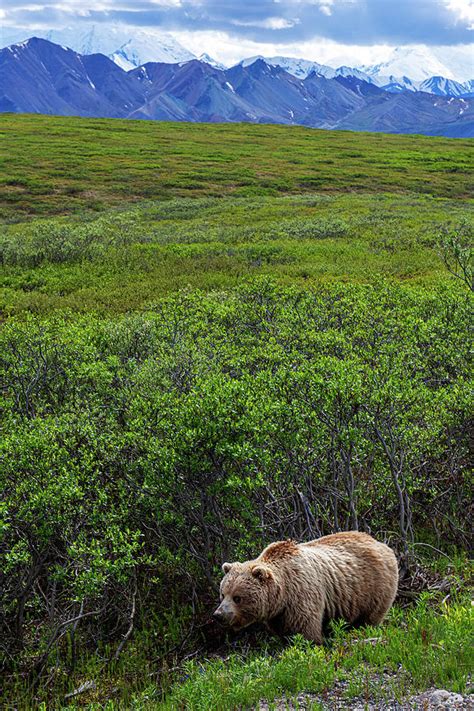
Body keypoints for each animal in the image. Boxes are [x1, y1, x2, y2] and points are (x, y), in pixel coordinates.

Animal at [213, 536, 398, 644]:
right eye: (223, 594)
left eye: (237, 597)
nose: (218, 615)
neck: (283, 593)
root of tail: (382, 543)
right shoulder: (278, 614)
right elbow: (284, 632)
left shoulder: (302, 594)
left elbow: (305, 628)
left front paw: (311, 644)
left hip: (374, 587)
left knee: (370, 617)